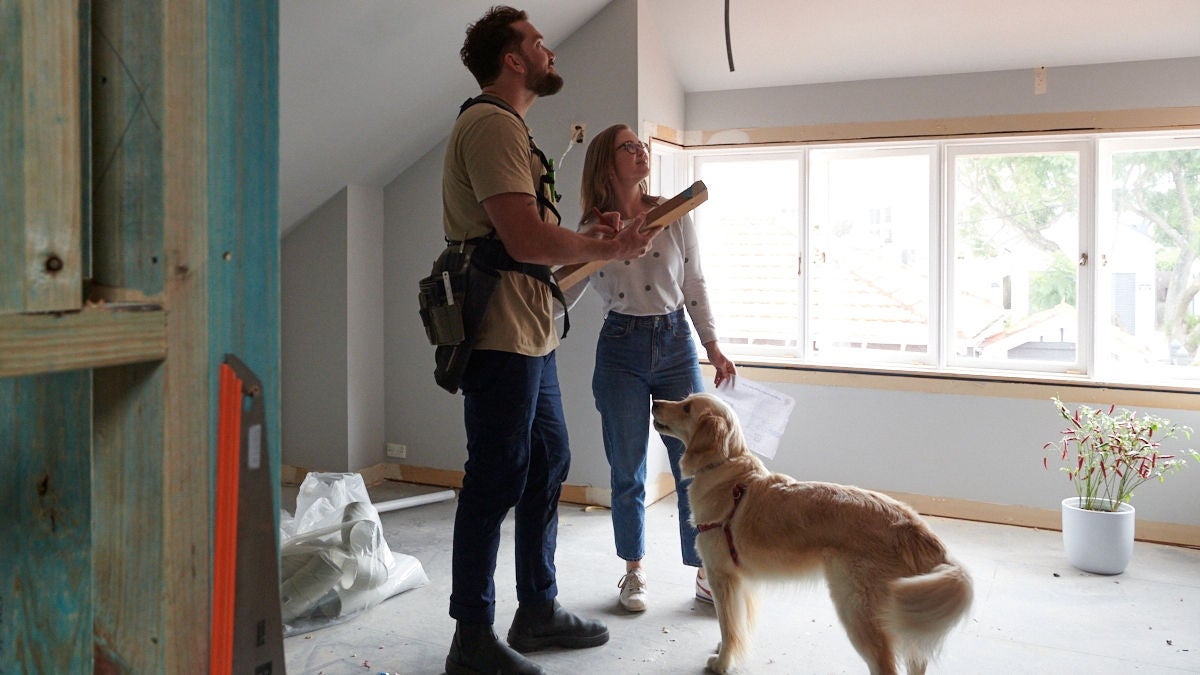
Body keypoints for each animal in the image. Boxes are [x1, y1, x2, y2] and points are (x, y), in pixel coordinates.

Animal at [652, 391, 969, 667]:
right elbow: (738, 626)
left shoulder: (722, 577)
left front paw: (722, 663)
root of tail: (915, 529)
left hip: (858, 612)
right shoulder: (741, 582)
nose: (655, 402)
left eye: (687, 408)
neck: (725, 468)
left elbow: (729, 627)